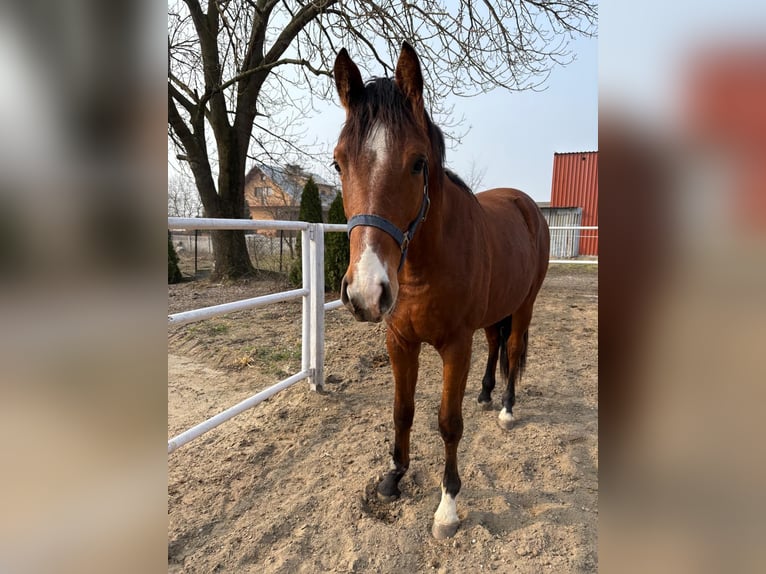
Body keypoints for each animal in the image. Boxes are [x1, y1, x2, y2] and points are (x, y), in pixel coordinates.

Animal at [332, 41, 548, 540]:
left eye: (418, 163)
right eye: (338, 162)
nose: (366, 292)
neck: (422, 268)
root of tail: (525, 204)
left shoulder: (455, 345)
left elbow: (449, 423)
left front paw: (448, 506)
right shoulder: (399, 342)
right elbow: (403, 410)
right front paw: (394, 477)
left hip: (524, 304)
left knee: (513, 349)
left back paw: (506, 408)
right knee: (496, 344)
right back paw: (486, 394)